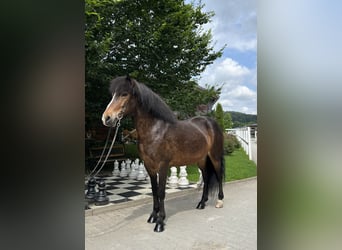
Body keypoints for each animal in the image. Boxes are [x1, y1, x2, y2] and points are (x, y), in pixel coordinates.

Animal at [101, 75, 224, 232]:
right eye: (113, 95)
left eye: (124, 94)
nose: (106, 118)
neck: (155, 130)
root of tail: (210, 122)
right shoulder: (149, 166)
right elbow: (154, 191)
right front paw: (153, 216)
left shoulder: (163, 166)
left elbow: (161, 192)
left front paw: (160, 222)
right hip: (201, 159)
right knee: (207, 178)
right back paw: (201, 203)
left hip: (214, 157)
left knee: (219, 175)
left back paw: (219, 201)